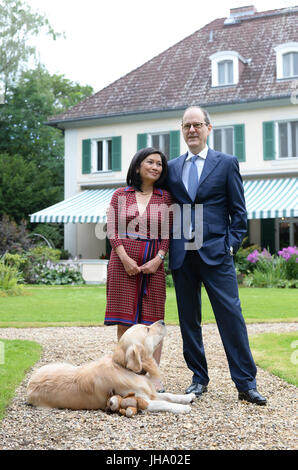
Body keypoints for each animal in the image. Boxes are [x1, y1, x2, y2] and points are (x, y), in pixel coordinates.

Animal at [25, 320, 196, 414]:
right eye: (147, 329)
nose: (162, 320)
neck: (125, 369)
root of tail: (30, 381)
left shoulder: (150, 393)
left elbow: (168, 395)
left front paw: (186, 397)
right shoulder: (140, 400)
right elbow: (163, 402)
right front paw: (181, 408)